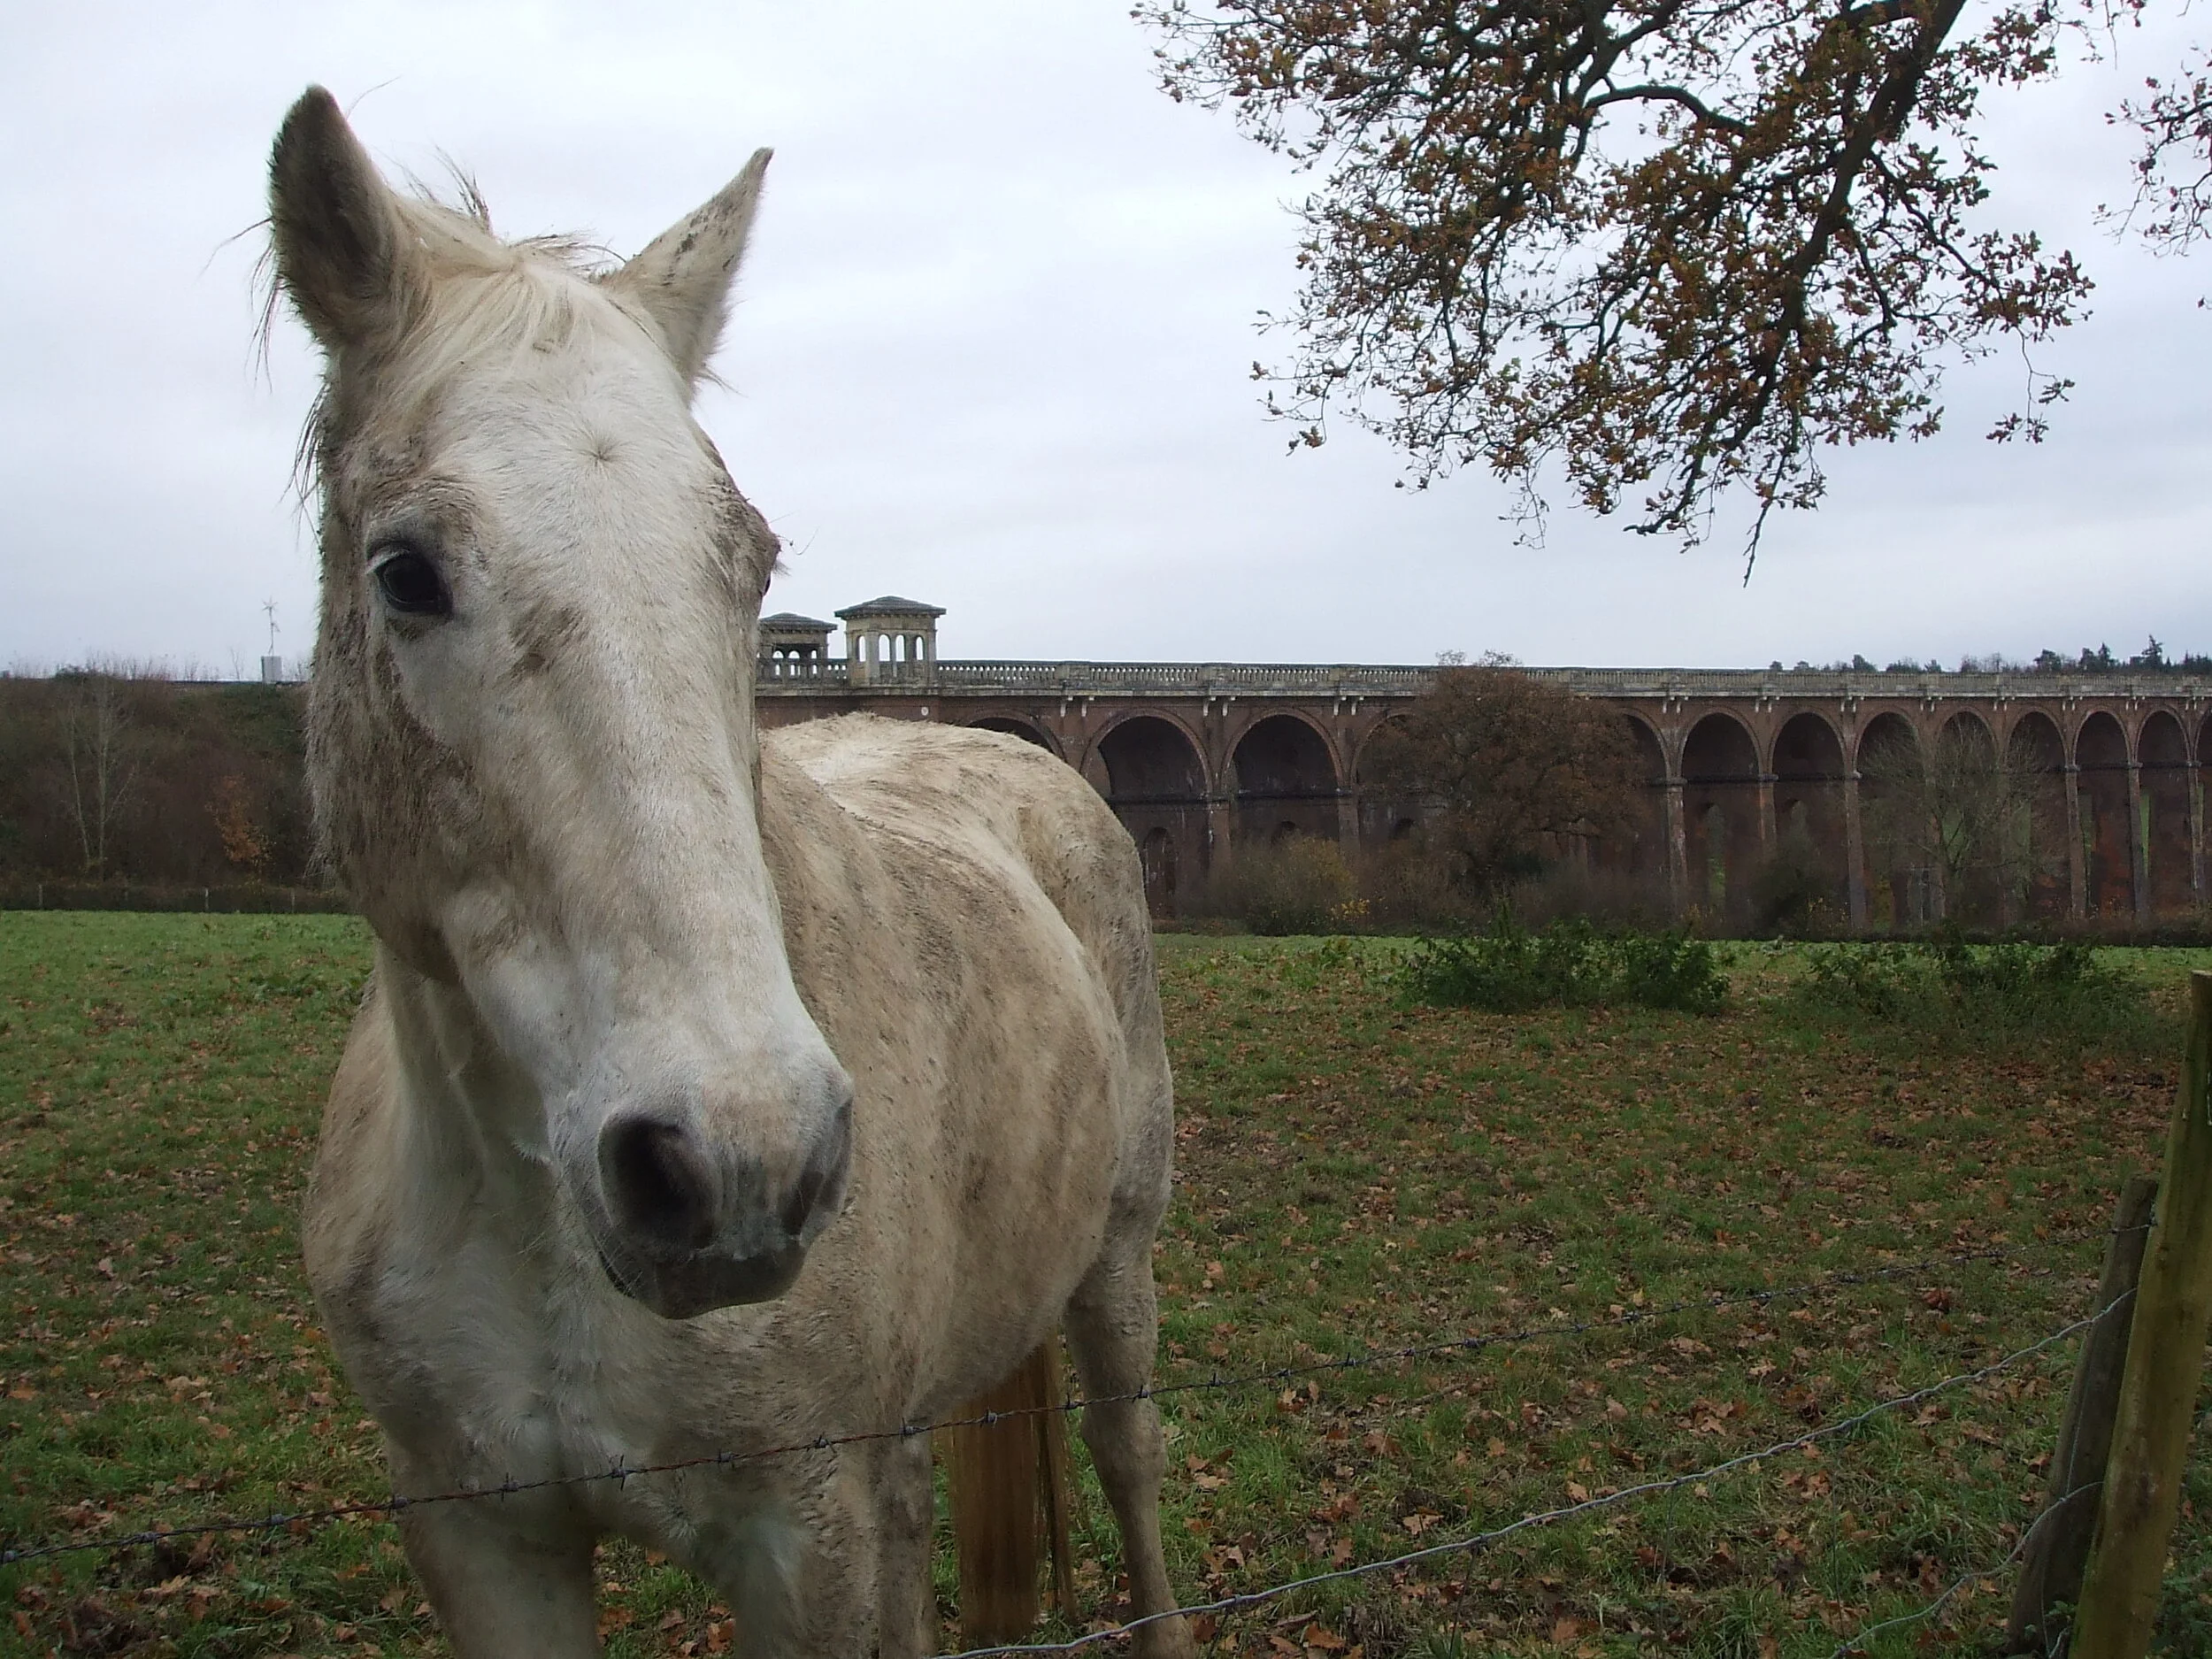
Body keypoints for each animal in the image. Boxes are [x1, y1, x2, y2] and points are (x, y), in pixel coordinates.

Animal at [267, 87, 1194, 1658]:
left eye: (749, 564)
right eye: (404, 572)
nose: (739, 1160)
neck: (533, 1209)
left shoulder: (800, 1526)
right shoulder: (479, 1528)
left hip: (1116, 1252)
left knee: (1130, 1453)